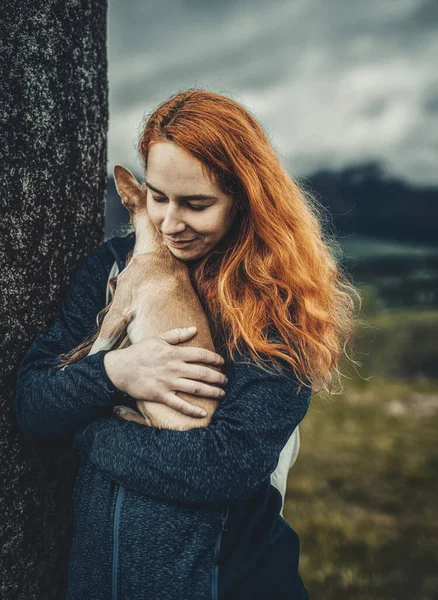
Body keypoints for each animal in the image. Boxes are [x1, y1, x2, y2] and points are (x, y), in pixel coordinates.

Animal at [87, 164, 224, 432]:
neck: (160, 249)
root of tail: (199, 426)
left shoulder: (117, 313)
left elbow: (99, 345)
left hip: (150, 397)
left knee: (152, 423)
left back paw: (123, 410)